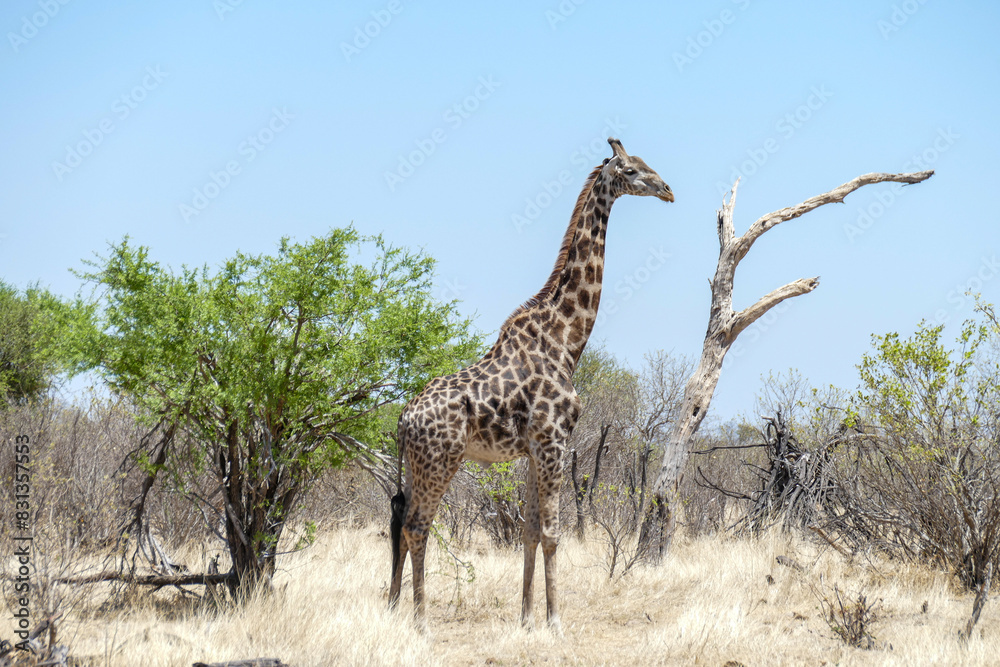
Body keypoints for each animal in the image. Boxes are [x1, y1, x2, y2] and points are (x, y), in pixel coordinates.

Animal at [389, 137, 674, 632]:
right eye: (632, 170)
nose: (668, 190)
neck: (566, 340)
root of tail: (404, 420)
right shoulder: (554, 440)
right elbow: (554, 534)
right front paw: (555, 621)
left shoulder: (532, 450)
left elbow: (528, 531)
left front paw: (525, 617)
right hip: (440, 461)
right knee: (416, 525)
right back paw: (421, 620)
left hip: (416, 464)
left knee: (399, 522)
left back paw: (393, 608)